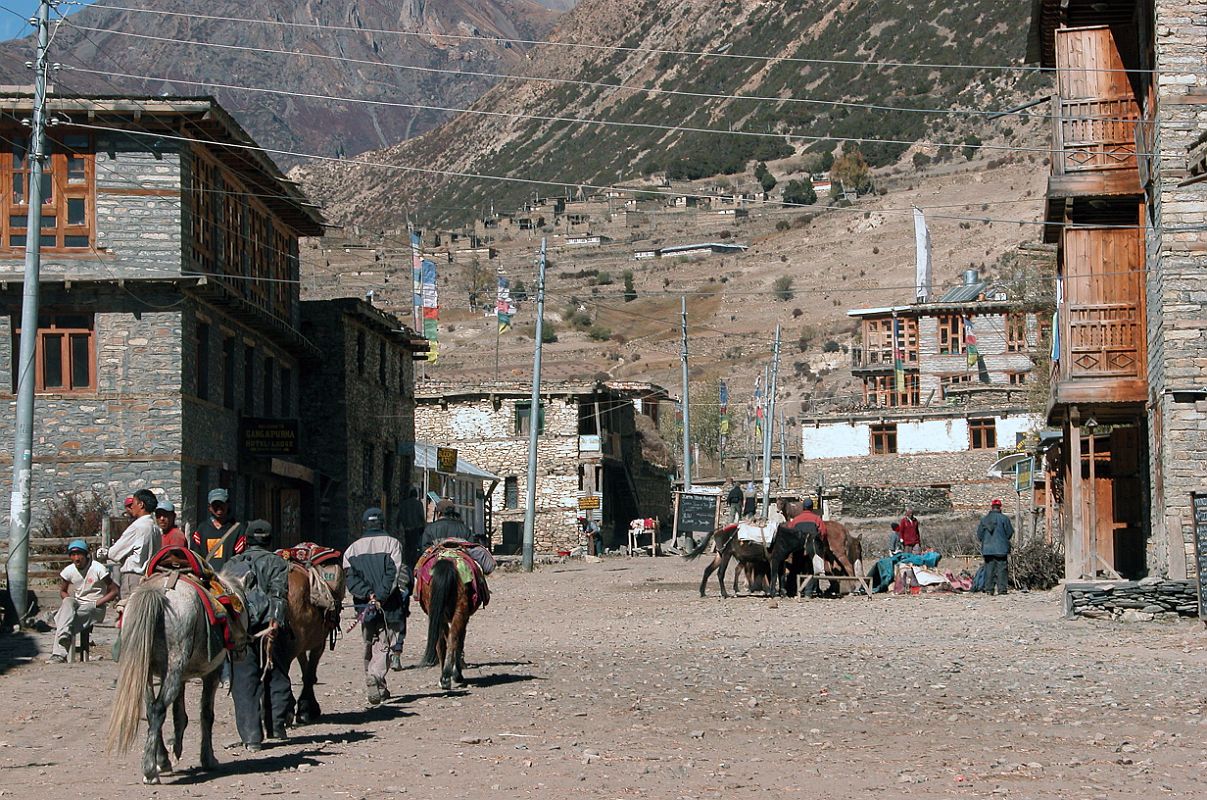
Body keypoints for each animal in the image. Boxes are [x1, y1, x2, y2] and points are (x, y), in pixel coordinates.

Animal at [107, 571, 248, 786]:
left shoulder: (178, 676)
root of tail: (160, 590)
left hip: (148, 672)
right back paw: (150, 770)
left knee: (151, 709)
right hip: (175, 665)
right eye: (243, 606)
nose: (242, 647)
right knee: (158, 709)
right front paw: (208, 759)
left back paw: (161, 761)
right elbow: (206, 714)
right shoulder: (211, 673)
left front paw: (175, 750)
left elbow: (178, 714)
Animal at [417, 547, 487, 690]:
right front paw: (457, 673)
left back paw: (445, 678)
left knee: (445, 641)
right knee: (453, 639)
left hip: (443, 614)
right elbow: (459, 641)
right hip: (458, 612)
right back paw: (449, 676)